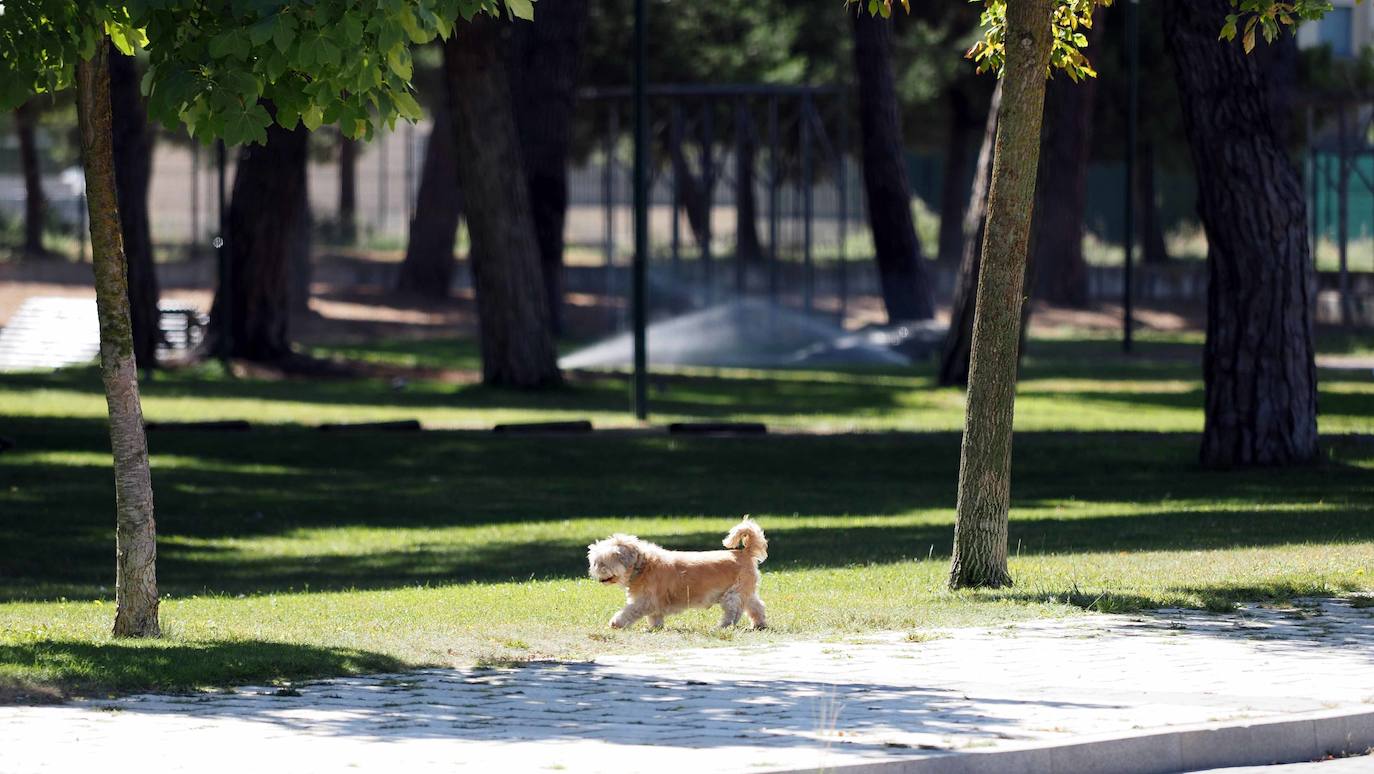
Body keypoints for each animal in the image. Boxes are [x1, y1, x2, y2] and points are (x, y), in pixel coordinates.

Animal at [585, 516, 769, 632]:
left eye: (602, 563)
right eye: (595, 562)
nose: (594, 571)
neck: (643, 566)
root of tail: (745, 552)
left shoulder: (645, 601)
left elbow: (629, 611)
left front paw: (616, 623)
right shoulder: (654, 604)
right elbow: (655, 617)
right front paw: (655, 628)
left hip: (732, 595)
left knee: (734, 613)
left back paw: (722, 626)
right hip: (746, 593)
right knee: (756, 606)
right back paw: (759, 625)